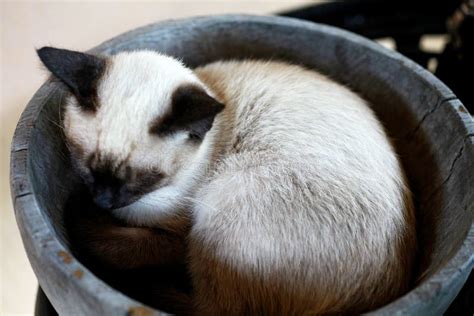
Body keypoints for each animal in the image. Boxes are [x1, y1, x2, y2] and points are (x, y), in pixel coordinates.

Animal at [39, 47, 416, 316]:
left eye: (145, 178)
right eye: (86, 163)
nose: (103, 200)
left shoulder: (175, 237)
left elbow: (123, 245)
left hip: (227, 195)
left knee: (211, 309)